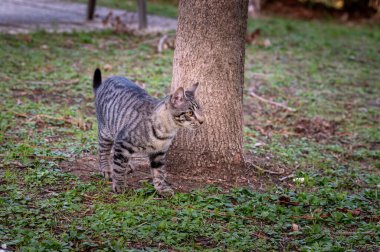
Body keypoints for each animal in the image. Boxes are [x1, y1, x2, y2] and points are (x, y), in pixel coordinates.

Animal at [93, 69, 203, 197]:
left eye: (200, 109)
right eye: (190, 113)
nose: (202, 121)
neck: (167, 131)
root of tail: (105, 81)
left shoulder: (159, 153)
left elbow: (159, 172)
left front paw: (161, 188)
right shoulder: (123, 141)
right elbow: (118, 167)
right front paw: (119, 185)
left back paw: (128, 165)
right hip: (106, 131)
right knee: (103, 151)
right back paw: (106, 169)